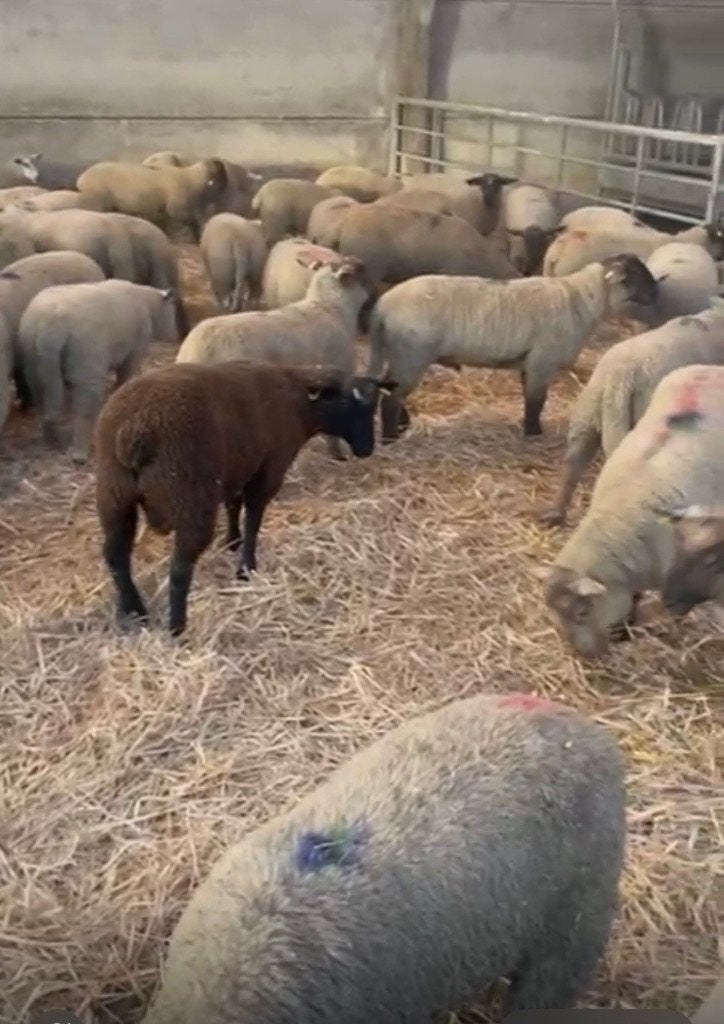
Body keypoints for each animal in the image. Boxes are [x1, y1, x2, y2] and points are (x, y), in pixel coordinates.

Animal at [19, 279, 178, 462]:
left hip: (33, 358)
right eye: (172, 311)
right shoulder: (135, 349)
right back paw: (80, 453)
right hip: (87, 358)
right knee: (86, 403)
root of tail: (50, 323)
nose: (175, 336)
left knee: (41, 397)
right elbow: (125, 377)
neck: (149, 303)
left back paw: (52, 442)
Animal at [75, 158, 229, 239]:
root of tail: (81, 179)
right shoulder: (178, 208)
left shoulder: (164, 209)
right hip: (98, 200)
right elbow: (190, 221)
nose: (225, 186)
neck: (192, 178)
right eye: (220, 173)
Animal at [94, 362, 396, 635]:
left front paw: (232, 541)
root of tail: (134, 431)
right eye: (350, 405)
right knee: (179, 569)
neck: (299, 403)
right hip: (191, 495)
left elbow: (233, 504)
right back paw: (177, 628)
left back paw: (134, 610)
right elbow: (253, 517)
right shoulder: (269, 469)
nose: (367, 449)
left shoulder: (239, 467)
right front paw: (246, 567)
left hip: (114, 495)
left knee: (116, 556)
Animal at [367, 254, 658, 441]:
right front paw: (533, 433)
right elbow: (537, 400)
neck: (583, 300)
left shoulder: (530, 362)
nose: (658, 293)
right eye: (635, 276)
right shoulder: (542, 361)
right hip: (411, 354)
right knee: (391, 399)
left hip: (399, 353)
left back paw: (402, 426)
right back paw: (392, 436)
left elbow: (531, 397)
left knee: (387, 387)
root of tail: (383, 306)